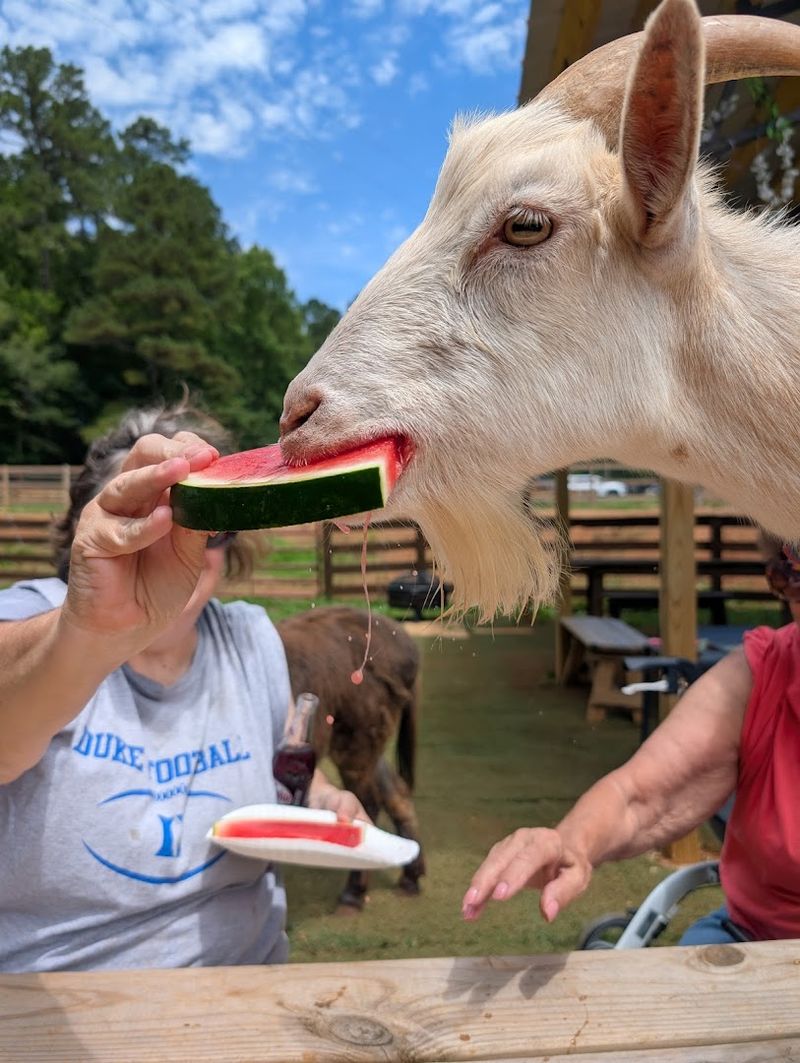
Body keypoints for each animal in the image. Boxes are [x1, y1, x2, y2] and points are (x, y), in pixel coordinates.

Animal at [277, 606, 425, 910]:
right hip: (369, 745)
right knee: (395, 793)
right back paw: (410, 877)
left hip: (355, 742)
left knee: (367, 802)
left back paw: (354, 892)